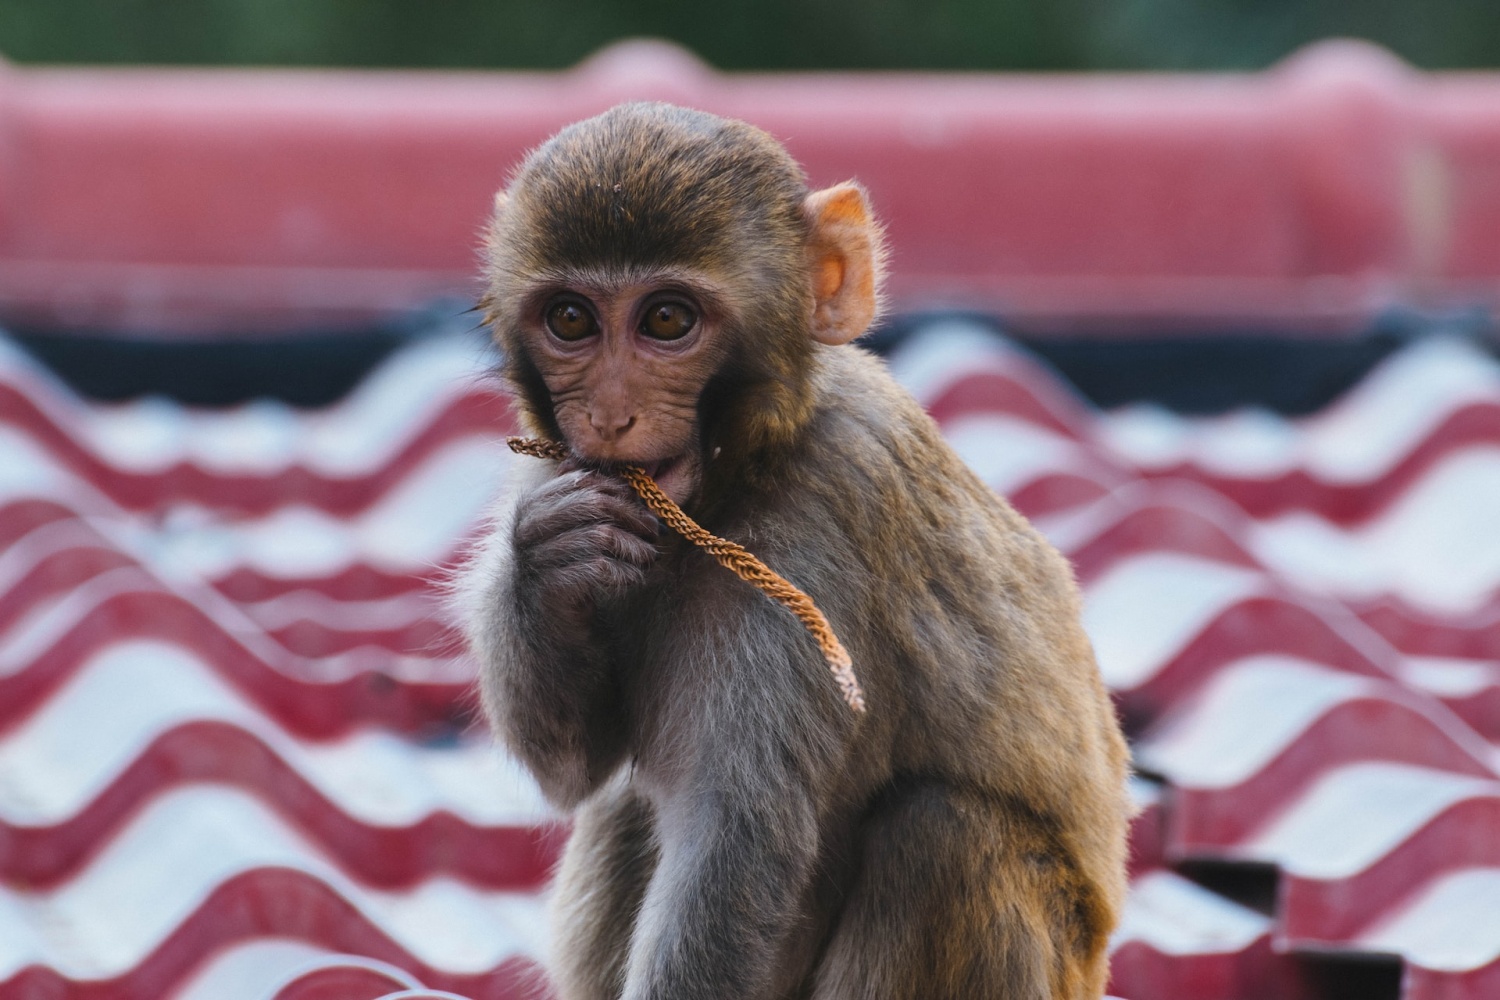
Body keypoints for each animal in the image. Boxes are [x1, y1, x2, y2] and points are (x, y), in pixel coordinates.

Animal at [456, 103, 1128, 1000]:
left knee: (942, 836)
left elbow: (733, 837)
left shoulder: (821, 524)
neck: (747, 468)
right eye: (571, 320)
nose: (607, 415)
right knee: (627, 803)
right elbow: (579, 765)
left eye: (666, 320)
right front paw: (546, 557)